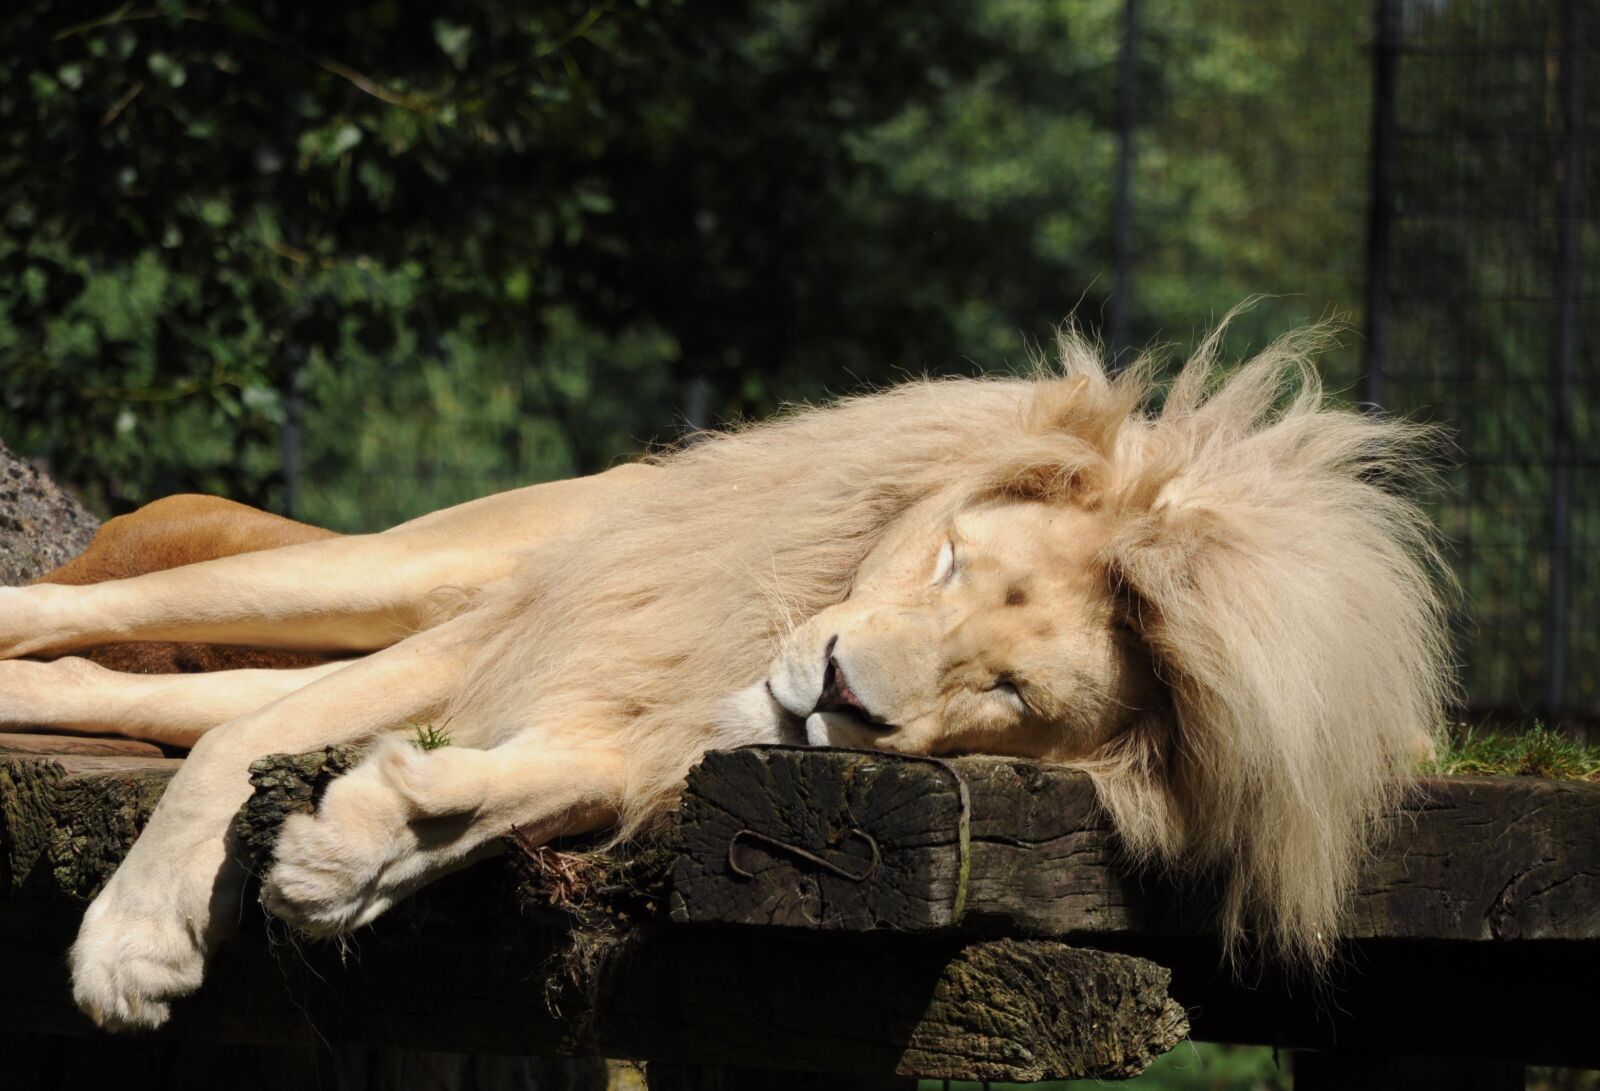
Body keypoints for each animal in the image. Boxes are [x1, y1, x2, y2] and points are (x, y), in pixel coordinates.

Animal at [0, 322, 1452, 1031]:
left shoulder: (616, 731)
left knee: (129, 686)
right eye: (949, 561)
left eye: (1010, 696)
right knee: (114, 619)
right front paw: (133, 942)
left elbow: (501, 789)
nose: (841, 689)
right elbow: (238, 740)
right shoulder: (534, 634)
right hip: (423, 573)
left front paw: (359, 847)